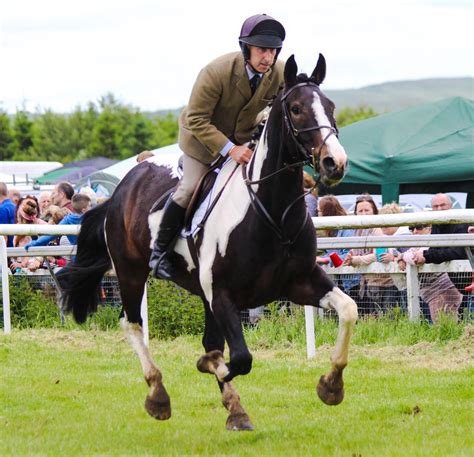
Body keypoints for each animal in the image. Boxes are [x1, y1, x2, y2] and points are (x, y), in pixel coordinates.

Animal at [58, 54, 356, 432]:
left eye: (330, 107)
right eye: (297, 108)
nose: (335, 163)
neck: (272, 212)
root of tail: (121, 188)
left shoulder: (300, 283)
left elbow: (349, 310)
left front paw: (331, 386)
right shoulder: (222, 294)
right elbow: (239, 359)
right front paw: (208, 365)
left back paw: (235, 410)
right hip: (130, 272)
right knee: (132, 324)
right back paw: (158, 395)